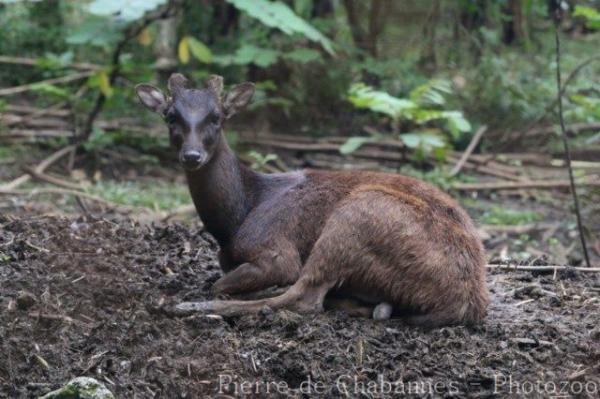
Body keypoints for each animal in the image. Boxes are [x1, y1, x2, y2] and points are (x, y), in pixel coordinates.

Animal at [135, 74, 488, 328]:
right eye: (170, 116)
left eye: (216, 117)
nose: (192, 155)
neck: (236, 219)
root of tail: (467, 303)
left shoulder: (275, 248)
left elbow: (221, 284)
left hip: (358, 214)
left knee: (305, 296)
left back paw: (187, 306)